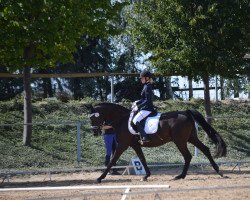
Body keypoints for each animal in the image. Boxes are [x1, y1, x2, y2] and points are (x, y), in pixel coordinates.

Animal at [85, 103, 227, 183]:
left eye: (93, 118)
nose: (95, 132)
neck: (122, 120)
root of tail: (185, 112)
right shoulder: (135, 145)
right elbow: (142, 159)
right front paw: (146, 176)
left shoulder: (122, 145)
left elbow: (112, 160)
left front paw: (100, 178)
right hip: (190, 138)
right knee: (205, 149)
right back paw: (218, 171)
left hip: (180, 141)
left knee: (188, 156)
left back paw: (180, 176)